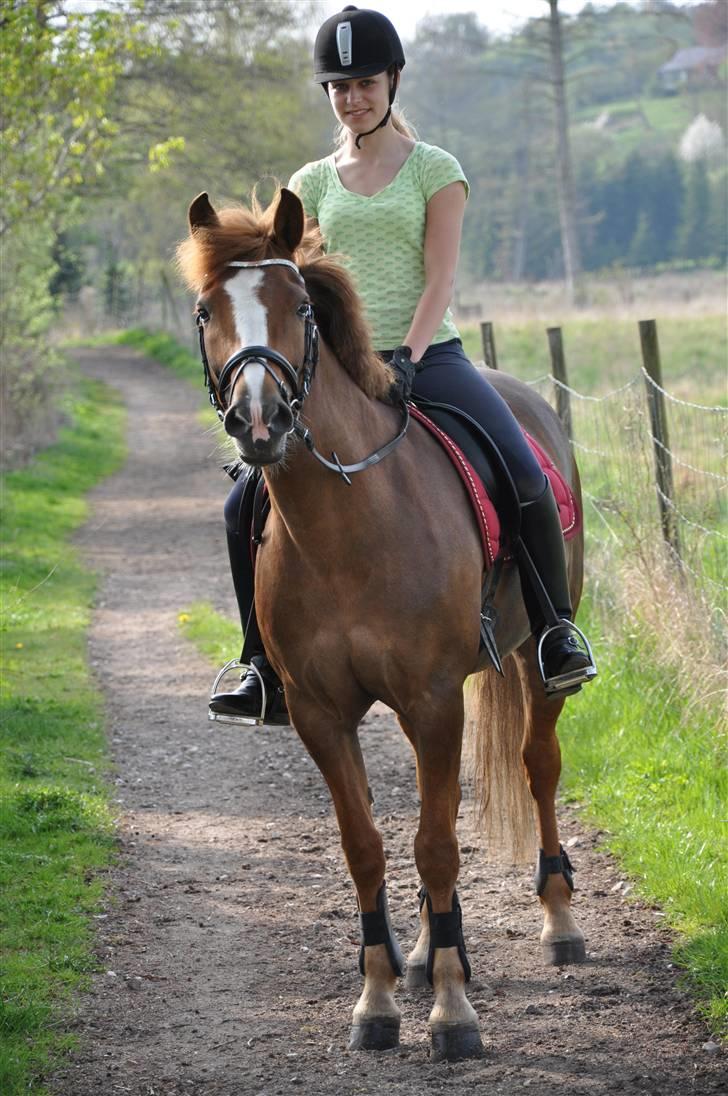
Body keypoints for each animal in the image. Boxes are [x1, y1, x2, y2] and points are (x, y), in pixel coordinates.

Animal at [176, 186, 587, 1062]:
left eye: (301, 306)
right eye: (204, 310)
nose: (258, 422)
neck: (347, 525)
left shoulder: (434, 699)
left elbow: (434, 843)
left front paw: (453, 1012)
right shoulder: (321, 712)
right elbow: (367, 844)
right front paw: (379, 997)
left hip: (536, 666)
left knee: (537, 765)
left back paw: (559, 922)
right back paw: (433, 947)